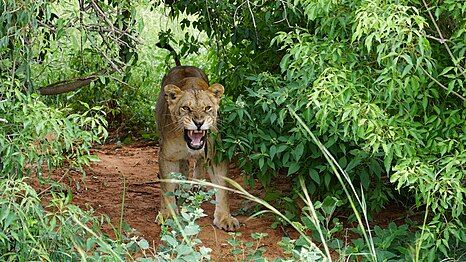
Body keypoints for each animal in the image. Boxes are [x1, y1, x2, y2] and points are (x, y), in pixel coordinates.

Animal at [156, 65, 240, 231]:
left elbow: (222, 188)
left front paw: (225, 218)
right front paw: (169, 216)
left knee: (199, 162)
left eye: (207, 108)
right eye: (185, 108)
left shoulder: (216, 156)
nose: (199, 123)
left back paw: (197, 186)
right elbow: (167, 188)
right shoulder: (167, 157)